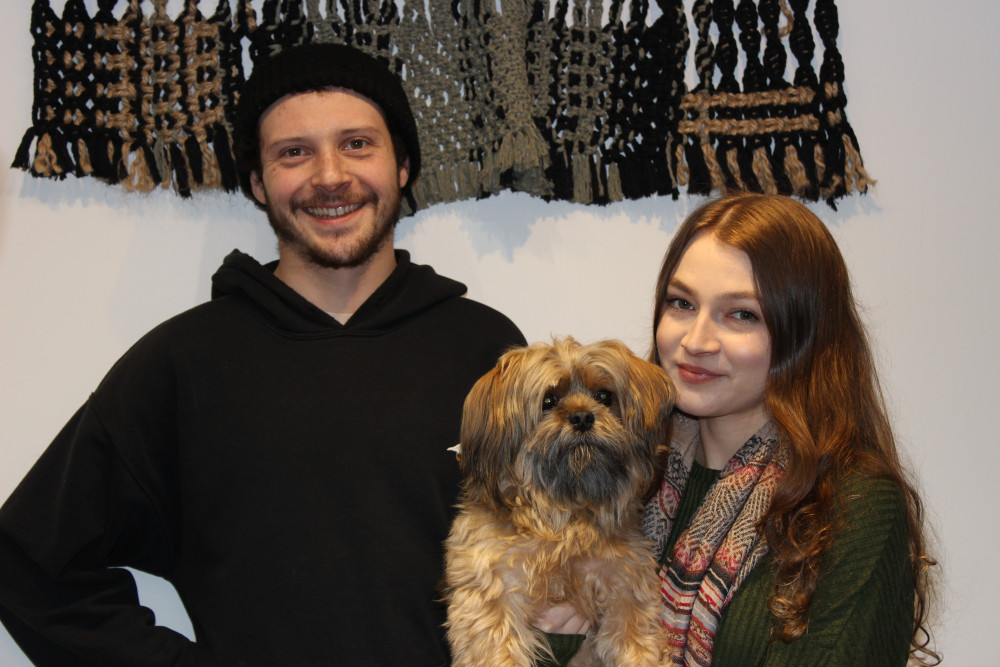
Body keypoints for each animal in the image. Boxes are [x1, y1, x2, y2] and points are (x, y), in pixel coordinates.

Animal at [446, 340, 672, 667]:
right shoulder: (491, 593)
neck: (565, 519)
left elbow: (637, 642)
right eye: (549, 400)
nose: (582, 417)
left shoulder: (626, 586)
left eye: (604, 396)